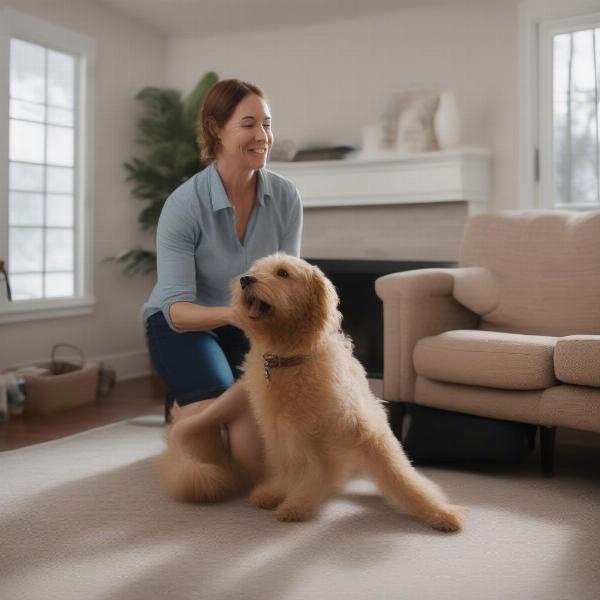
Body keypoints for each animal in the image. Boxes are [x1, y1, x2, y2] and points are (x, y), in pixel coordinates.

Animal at [158, 251, 464, 532]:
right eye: (256, 269)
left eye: (282, 273)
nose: (245, 280)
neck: (289, 358)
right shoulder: (284, 433)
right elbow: (294, 470)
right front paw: (283, 495)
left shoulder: (364, 431)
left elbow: (402, 476)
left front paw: (439, 511)